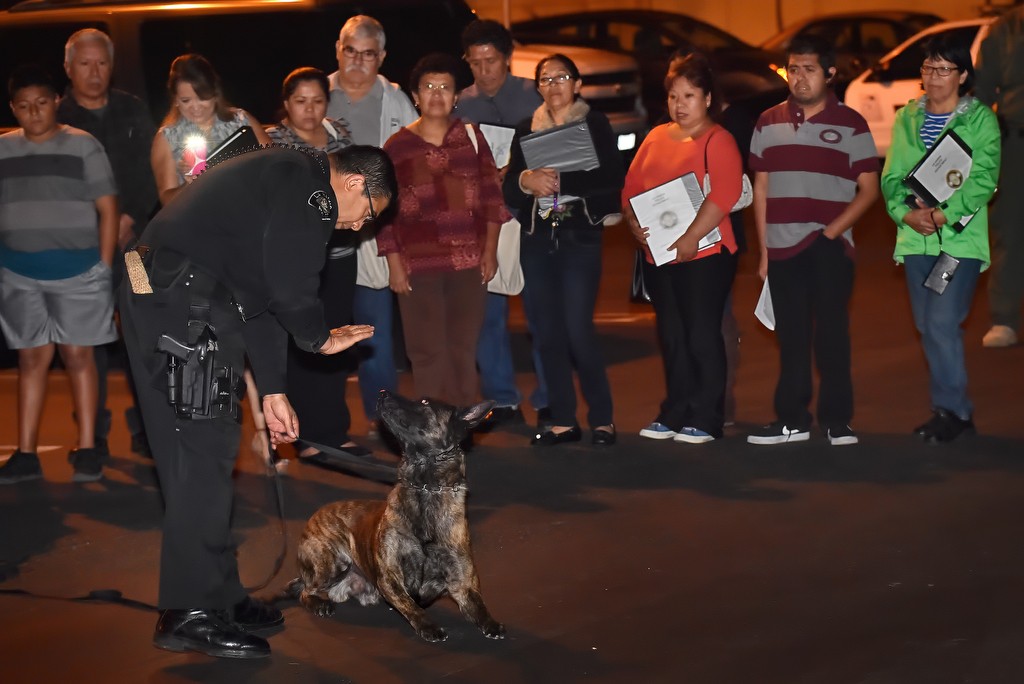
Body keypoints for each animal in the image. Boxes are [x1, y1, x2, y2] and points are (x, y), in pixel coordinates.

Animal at [288, 389, 503, 643]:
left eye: (424, 402)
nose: (382, 392)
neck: (426, 488)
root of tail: (314, 517)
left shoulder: (463, 583)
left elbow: (479, 606)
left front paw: (491, 623)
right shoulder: (390, 578)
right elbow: (412, 607)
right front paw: (429, 626)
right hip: (332, 564)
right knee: (304, 591)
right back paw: (319, 604)